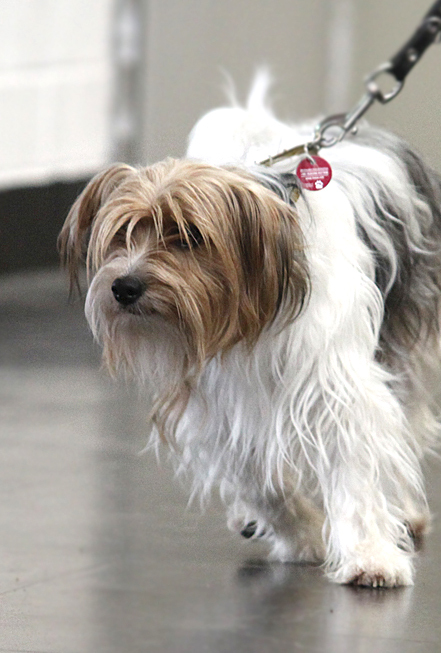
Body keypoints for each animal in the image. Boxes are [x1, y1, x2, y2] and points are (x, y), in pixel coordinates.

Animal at [59, 79, 441, 587]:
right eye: (123, 234)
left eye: (191, 236)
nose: (124, 287)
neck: (252, 309)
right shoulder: (215, 398)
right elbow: (257, 475)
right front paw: (302, 534)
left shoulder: (340, 387)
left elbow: (357, 469)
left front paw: (370, 555)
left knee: (408, 424)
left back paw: (404, 508)